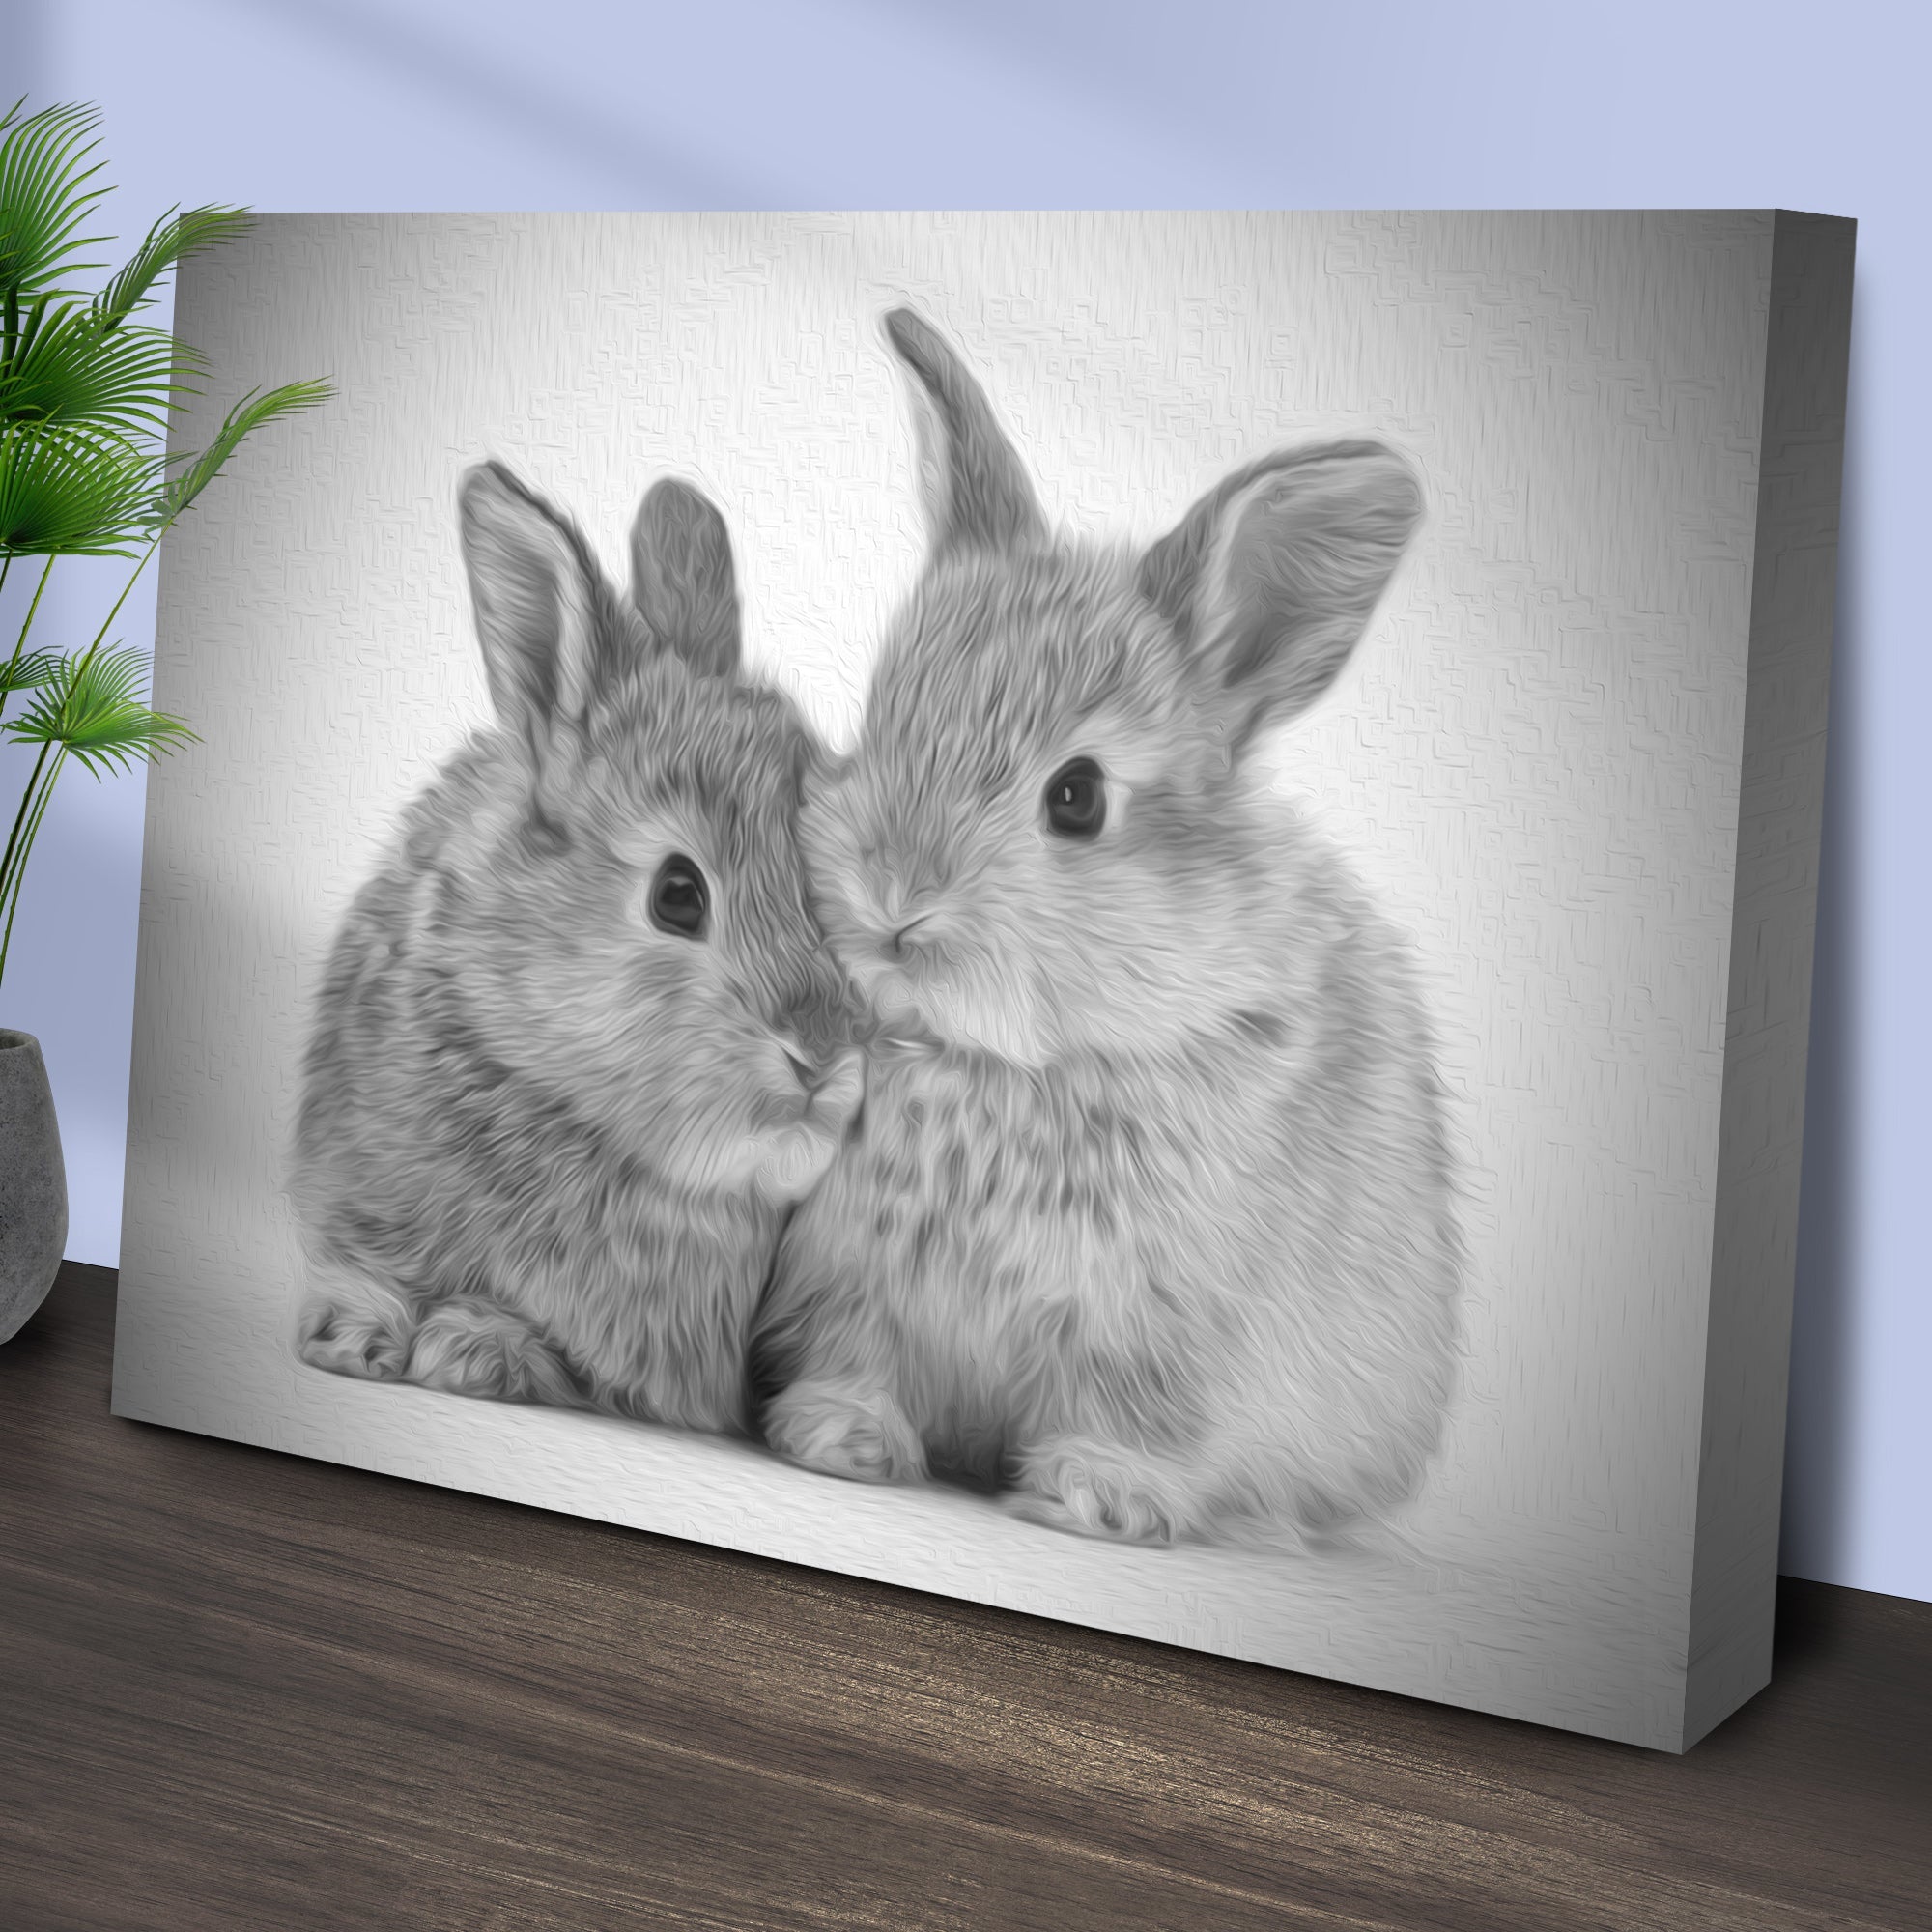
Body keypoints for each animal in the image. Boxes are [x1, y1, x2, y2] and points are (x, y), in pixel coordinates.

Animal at [749, 309, 1461, 1545]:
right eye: (881, 720)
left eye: (1076, 797)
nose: (892, 900)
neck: (1001, 1060)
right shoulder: (851, 1279)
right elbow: (859, 1354)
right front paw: (839, 1435)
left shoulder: (1160, 1326)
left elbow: (1133, 1414)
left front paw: (1097, 1493)